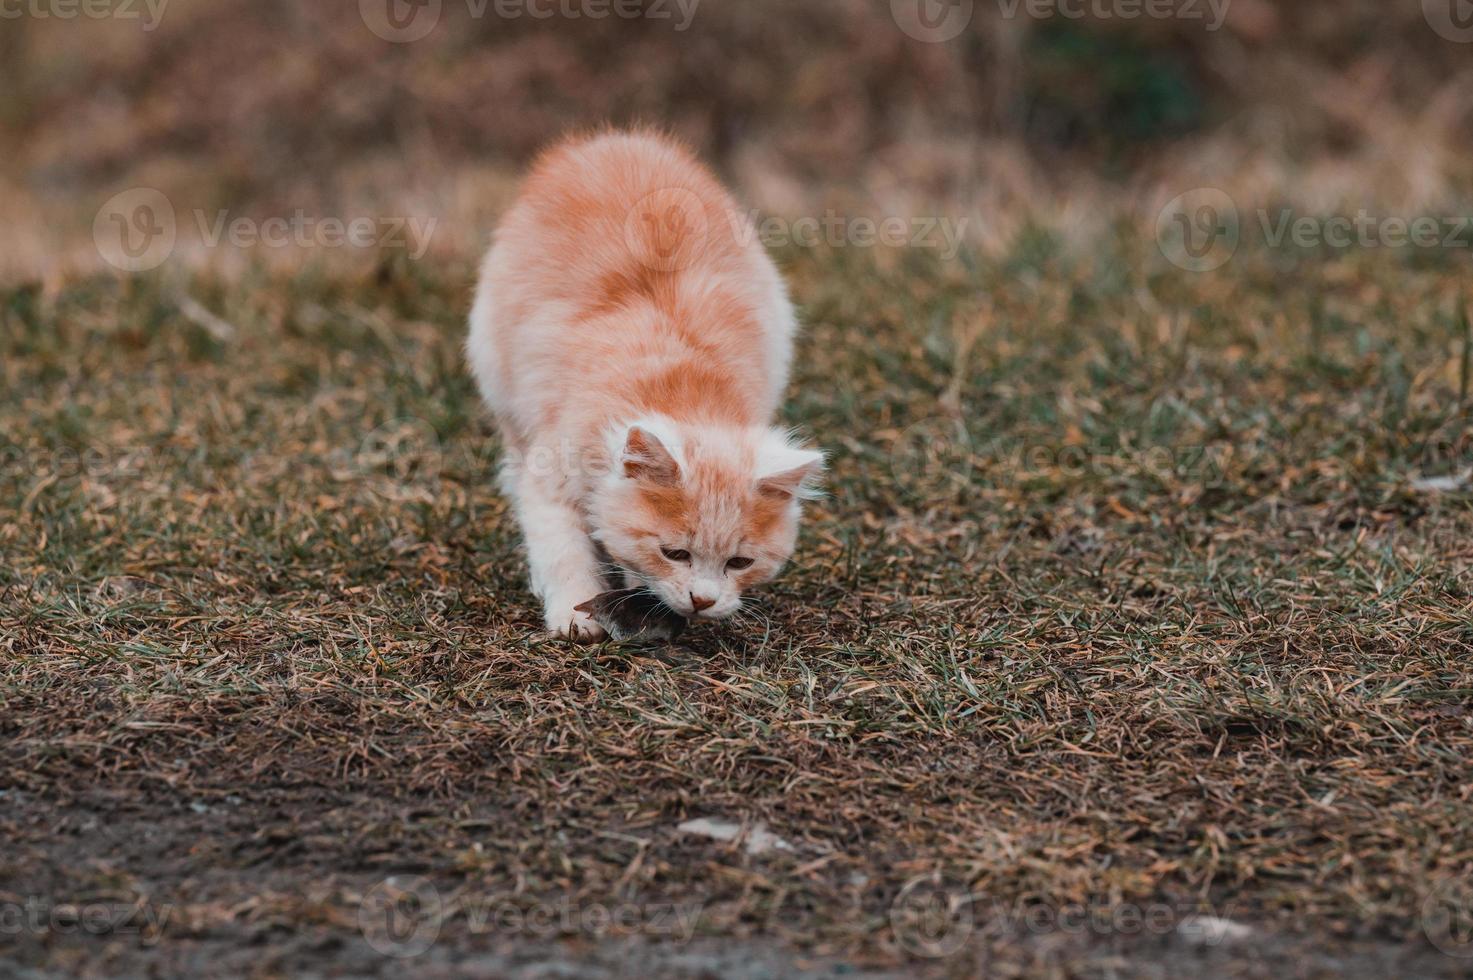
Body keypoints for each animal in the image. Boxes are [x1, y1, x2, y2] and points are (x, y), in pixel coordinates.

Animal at [465, 126, 824, 639]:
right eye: (674, 553)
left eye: (739, 562)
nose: (702, 600)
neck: (682, 385)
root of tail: (609, 140)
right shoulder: (551, 474)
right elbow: (562, 549)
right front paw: (575, 614)